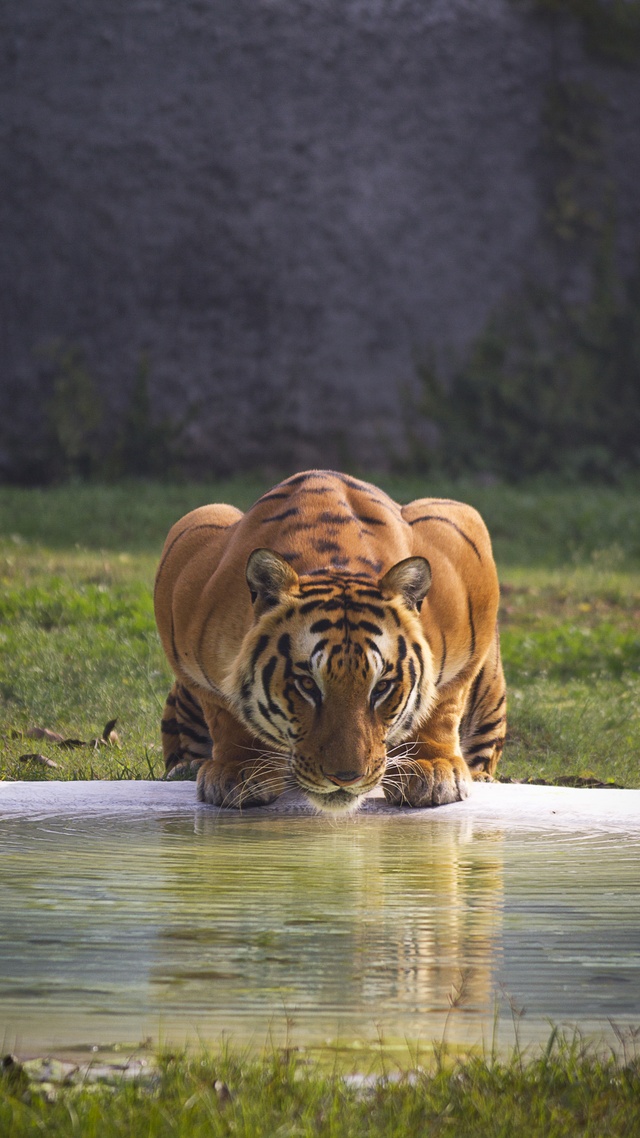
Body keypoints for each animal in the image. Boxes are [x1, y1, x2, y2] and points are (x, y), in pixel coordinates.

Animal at [153, 466, 503, 814]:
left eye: (381, 687)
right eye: (307, 685)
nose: (345, 778)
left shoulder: (462, 539)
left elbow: (443, 703)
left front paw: (431, 769)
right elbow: (224, 710)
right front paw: (238, 770)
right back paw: (186, 767)